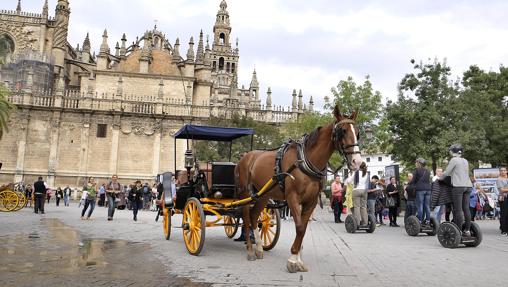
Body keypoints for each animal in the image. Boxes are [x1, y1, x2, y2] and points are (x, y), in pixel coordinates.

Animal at [236, 105, 364, 272]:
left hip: (263, 195)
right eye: (342, 131)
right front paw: (292, 259)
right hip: (245, 193)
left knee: (253, 216)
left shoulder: (311, 201)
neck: (305, 160)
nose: (357, 162)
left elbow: (303, 228)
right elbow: (300, 227)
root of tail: (245, 156)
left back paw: (259, 248)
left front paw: (298, 258)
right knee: (245, 217)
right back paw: (251, 251)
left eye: (358, 132)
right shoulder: (293, 198)